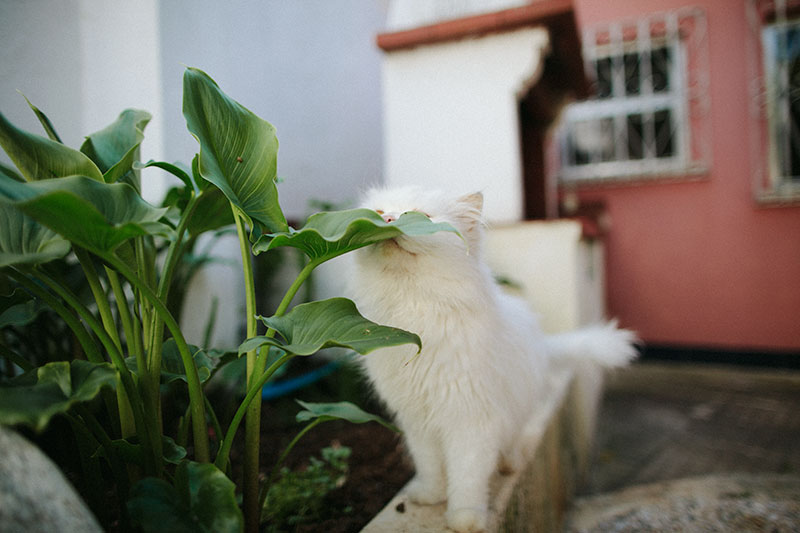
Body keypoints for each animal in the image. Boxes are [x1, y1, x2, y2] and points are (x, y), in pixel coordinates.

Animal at [350, 185, 636, 528]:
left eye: (420, 217)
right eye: (378, 214)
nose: (389, 220)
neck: (410, 316)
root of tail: (542, 339)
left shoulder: (471, 419)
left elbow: (467, 477)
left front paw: (465, 520)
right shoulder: (417, 420)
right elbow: (430, 467)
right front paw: (430, 497)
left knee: (510, 445)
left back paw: (509, 465)